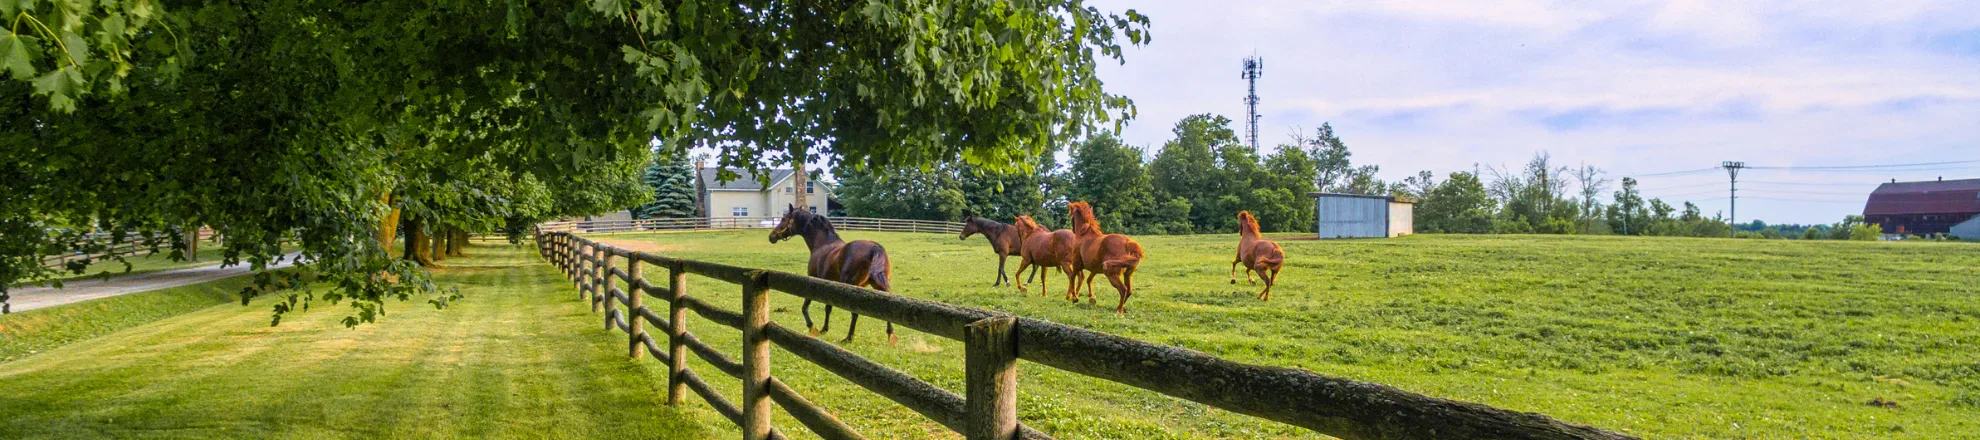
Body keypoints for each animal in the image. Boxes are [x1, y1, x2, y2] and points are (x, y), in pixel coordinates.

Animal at [772, 204, 898, 344]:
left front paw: (813, 327)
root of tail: (874, 248)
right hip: (877, 285)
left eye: (783, 219)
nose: (771, 236)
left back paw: (849, 337)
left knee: (855, 312)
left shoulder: (814, 281)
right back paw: (890, 334)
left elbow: (807, 306)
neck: (822, 244)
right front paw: (824, 328)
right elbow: (828, 308)